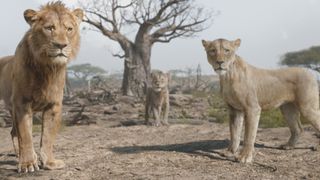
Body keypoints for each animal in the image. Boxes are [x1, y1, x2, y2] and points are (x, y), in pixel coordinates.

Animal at [0, 1, 84, 173]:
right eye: (50, 28)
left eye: (69, 29)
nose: (61, 45)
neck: (47, 68)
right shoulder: (22, 103)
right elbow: (25, 135)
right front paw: (27, 164)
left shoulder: (54, 105)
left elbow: (47, 137)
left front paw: (49, 162)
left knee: (13, 132)